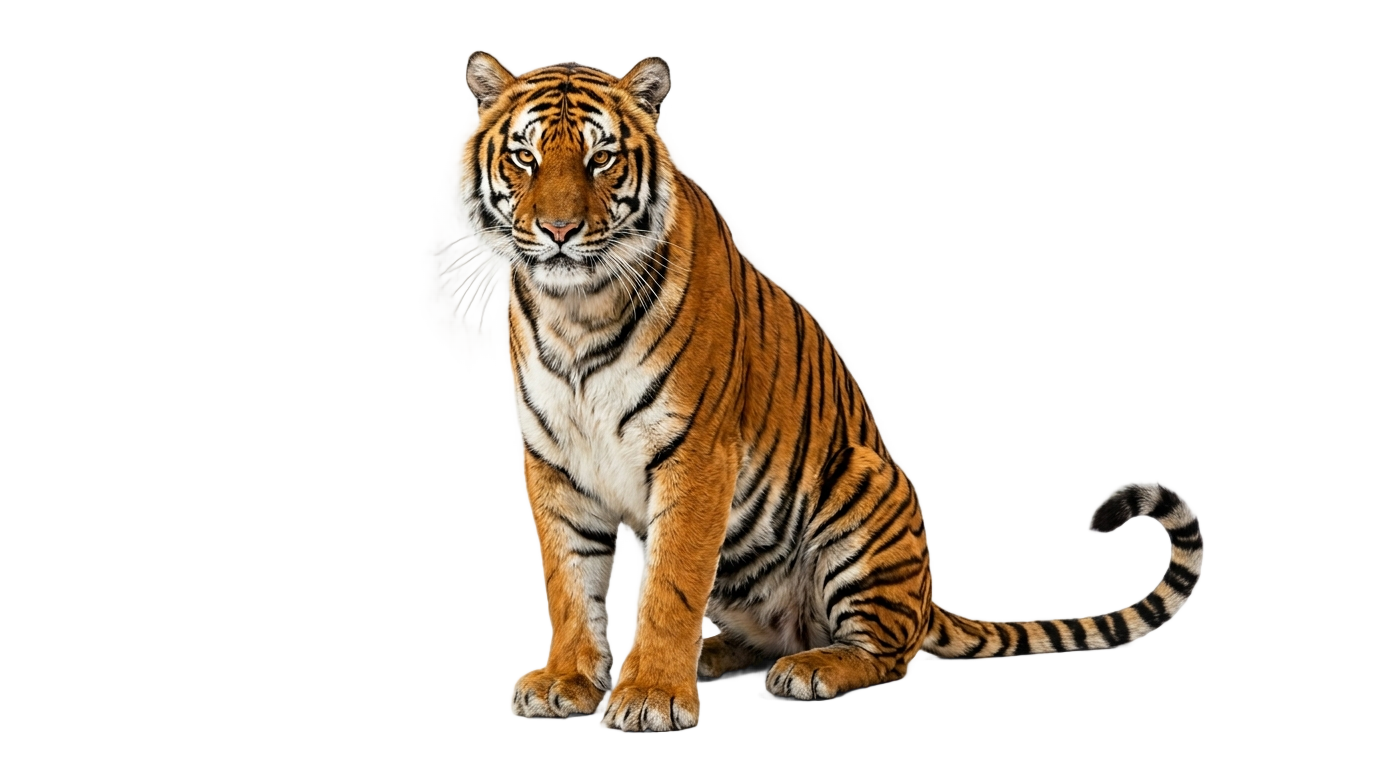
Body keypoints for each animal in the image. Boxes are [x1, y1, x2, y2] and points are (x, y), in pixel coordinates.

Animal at [456, 51, 1203, 732]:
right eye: (524, 157)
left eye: (601, 158)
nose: (558, 232)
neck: (577, 310)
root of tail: (925, 598)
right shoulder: (555, 460)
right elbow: (569, 585)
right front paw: (567, 682)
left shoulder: (695, 455)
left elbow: (671, 585)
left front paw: (651, 696)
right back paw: (719, 654)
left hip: (864, 486)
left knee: (886, 653)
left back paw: (810, 668)